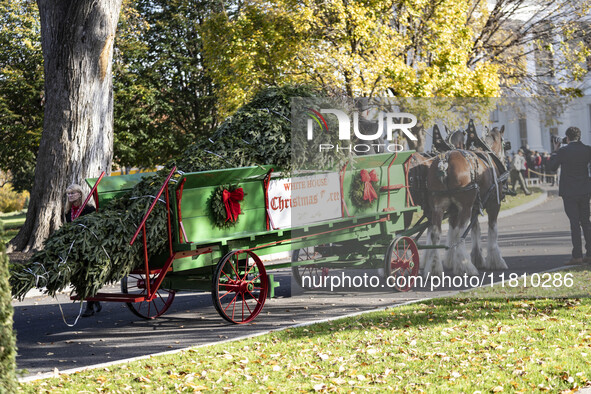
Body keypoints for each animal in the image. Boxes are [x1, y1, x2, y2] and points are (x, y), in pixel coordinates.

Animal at [424, 126, 512, 278]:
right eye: (504, 143)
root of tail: (444, 162)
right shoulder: (493, 204)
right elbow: (492, 230)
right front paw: (495, 260)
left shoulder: (469, 207)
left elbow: (474, 229)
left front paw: (475, 258)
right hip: (465, 207)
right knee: (460, 232)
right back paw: (465, 267)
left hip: (438, 208)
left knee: (435, 233)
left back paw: (434, 268)